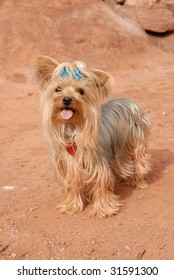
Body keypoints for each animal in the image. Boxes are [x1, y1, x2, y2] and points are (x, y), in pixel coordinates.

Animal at [34, 56, 151, 219]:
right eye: (58, 89)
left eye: (80, 91)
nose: (67, 99)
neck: (73, 127)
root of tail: (129, 101)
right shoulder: (68, 166)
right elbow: (71, 186)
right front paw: (71, 206)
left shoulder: (98, 164)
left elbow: (101, 184)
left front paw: (103, 209)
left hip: (135, 140)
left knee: (139, 161)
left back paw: (138, 182)